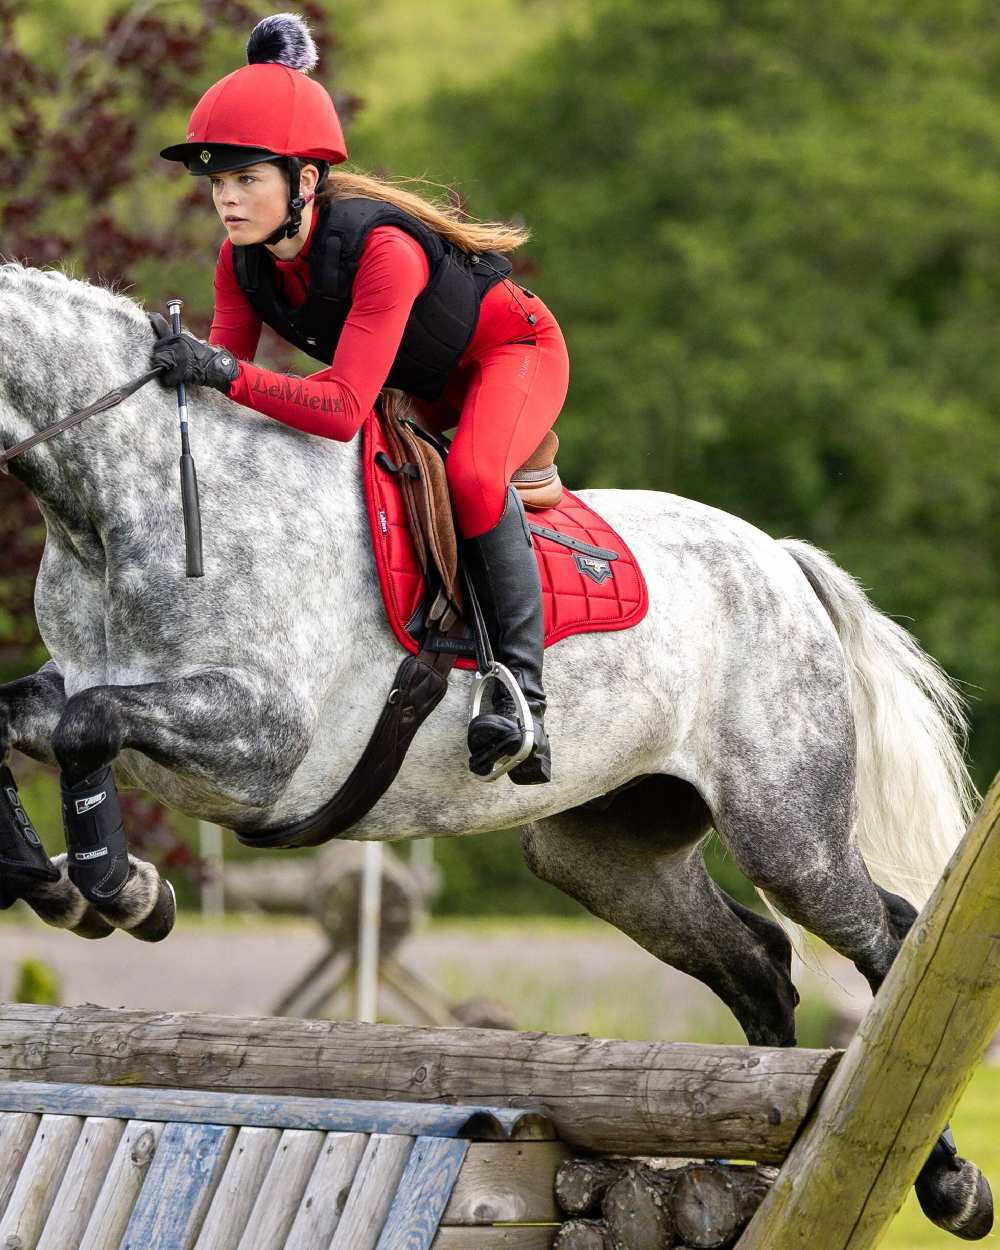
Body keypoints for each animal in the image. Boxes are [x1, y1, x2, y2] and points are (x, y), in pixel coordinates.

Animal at [0, 258, 990, 1235]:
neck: (115, 507)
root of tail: (779, 559)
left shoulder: (262, 743)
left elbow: (86, 726)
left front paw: (120, 890)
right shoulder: (99, 690)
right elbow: (27, 720)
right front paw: (59, 885)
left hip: (785, 828)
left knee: (883, 933)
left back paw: (947, 1184)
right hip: (606, 857)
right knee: (758, 967)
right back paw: (756, 1153)